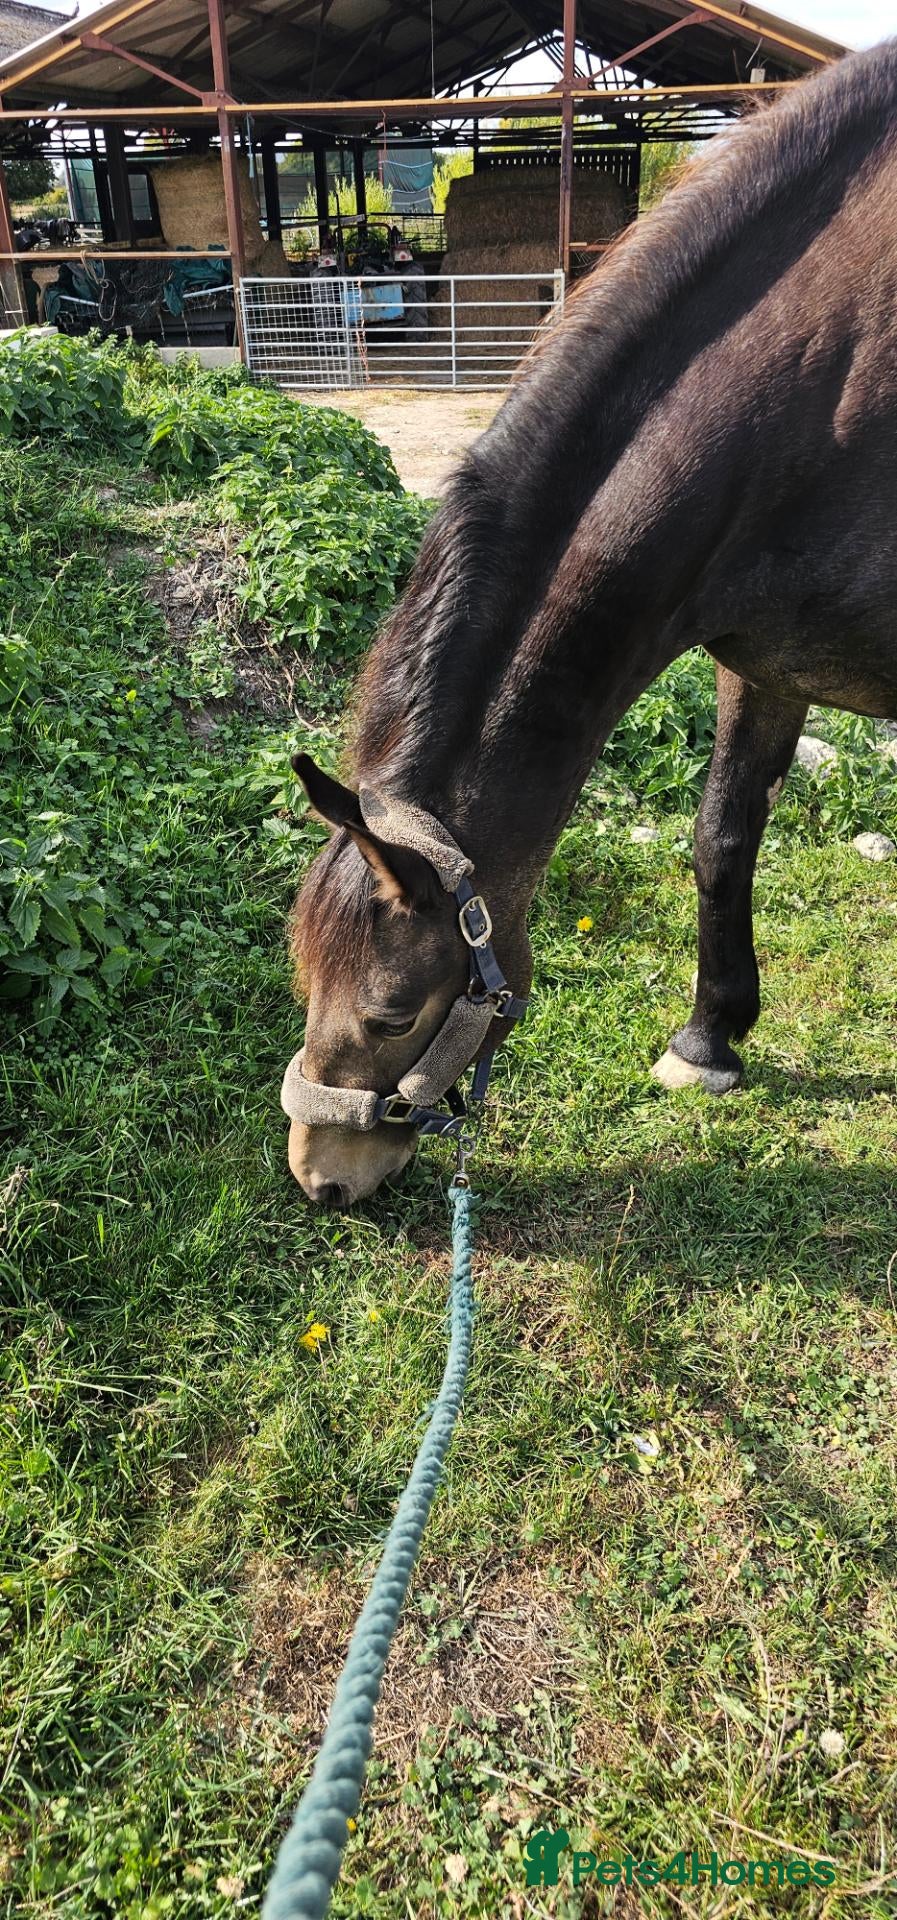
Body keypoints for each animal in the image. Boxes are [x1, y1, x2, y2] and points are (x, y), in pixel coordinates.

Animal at [284, 39, 897, 1205]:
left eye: (391, 1012)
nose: (320, 1178)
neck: (823, 397)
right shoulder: (761, 664)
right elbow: (721, 836)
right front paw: (709, 1040)